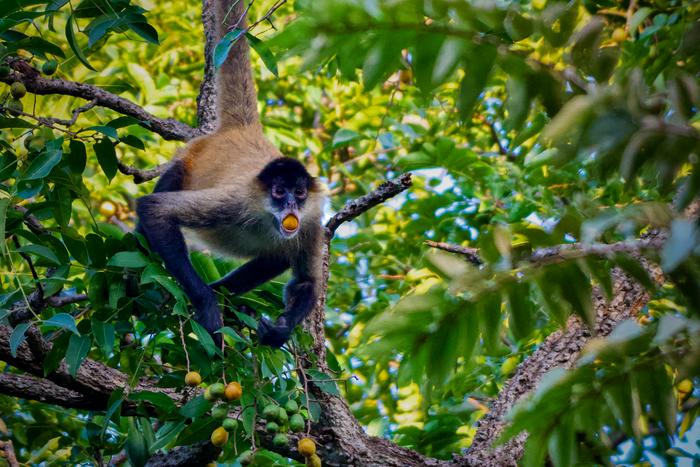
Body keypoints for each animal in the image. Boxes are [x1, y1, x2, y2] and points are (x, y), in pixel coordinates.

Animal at [135, 0, 325, 347]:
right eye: (279, 191)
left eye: (300, 192)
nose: (292, 204)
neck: (267, 218)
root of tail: (243, 130)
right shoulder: (236, 200)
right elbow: (154, 211)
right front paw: (207, 304)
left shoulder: (312, 220)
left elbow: (306, 282)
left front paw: (280, 329)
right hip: (188, 161)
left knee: (278, 255)